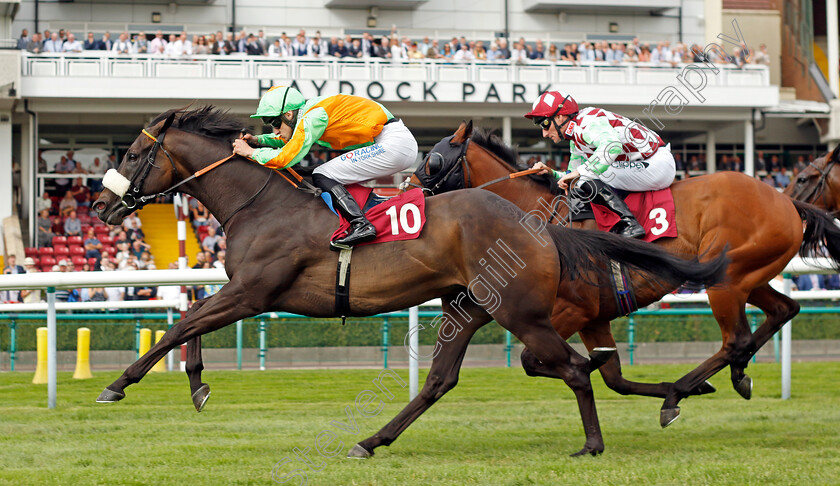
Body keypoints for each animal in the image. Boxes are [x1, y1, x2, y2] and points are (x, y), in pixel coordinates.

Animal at [88, 105, 724, 456]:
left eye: (136, 151)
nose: (100, 206)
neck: (261, 204)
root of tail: (539, 226)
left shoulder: (252, 292)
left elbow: (182, 325)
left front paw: (117, 384)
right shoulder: (243, 293)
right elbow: (187, 322)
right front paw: (197, 385)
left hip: (521, 313)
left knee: (571, 369)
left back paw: (597, 441)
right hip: (469, 308)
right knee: (442, 380)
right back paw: (371, 441)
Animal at [402, 120, 840, 426]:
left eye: (432, 161)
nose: (404, 194)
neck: (536, 219)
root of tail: (786, 202)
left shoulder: (570, 311)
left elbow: (531, 360)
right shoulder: (594, 317)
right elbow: (613, 377)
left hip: (727, 279)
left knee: (736, 339)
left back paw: (681, 392)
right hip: (746, 276)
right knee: (782, 311)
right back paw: (734, 377)